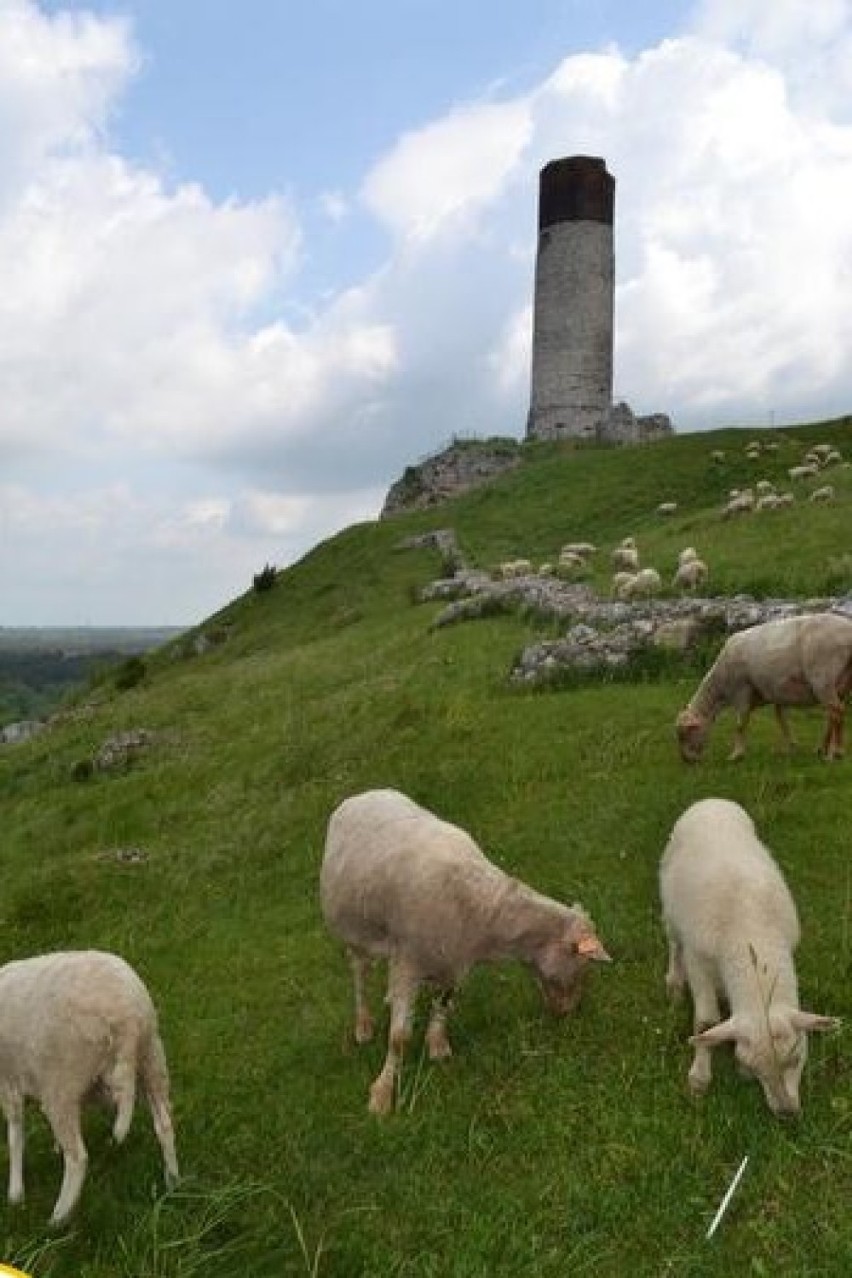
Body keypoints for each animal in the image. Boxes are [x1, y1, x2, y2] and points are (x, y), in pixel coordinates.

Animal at [0, 955, 178, 1221]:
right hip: (152, 1058)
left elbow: (15, 1135)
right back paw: (173, 1183)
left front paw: (15, 1194)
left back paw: (58, 1218)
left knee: (77, 1157)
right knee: (164, 1125)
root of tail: (127, 1017)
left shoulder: (8, 1081)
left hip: (62, 1081)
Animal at [321, 782, 613, 1114]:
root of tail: (363, 794)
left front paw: (437, 1045)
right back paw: (363, 1024)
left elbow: (443, 1004)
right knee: (359, 974)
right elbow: (398, 1037)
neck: (485, 910)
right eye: (581, 966)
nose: (568, 1013)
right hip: (355, 933)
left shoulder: (453, 963)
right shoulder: (409, 960)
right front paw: (382, 1094)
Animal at [659, 797, 837, 1119]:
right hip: (670, 910)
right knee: (673, 943)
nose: (787, 1114)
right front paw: (699, 1078)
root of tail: (710, 800)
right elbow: (705, 1022)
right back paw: (674, 984)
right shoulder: (698, 962)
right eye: (756, 1070)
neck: (749, 930)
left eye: (796, 1057)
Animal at [679, 608, 852, 756]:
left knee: (837, 711)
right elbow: (781, 718)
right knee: (832, 714)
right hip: (841, 683)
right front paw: (791, 745)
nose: (687, 761)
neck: (720, 686)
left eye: (685, 734)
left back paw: (836, 753)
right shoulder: (773, 691)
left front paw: (737, 754)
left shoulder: (742, 690)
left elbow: (740, 724)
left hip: (823, 677)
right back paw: (822, 749)